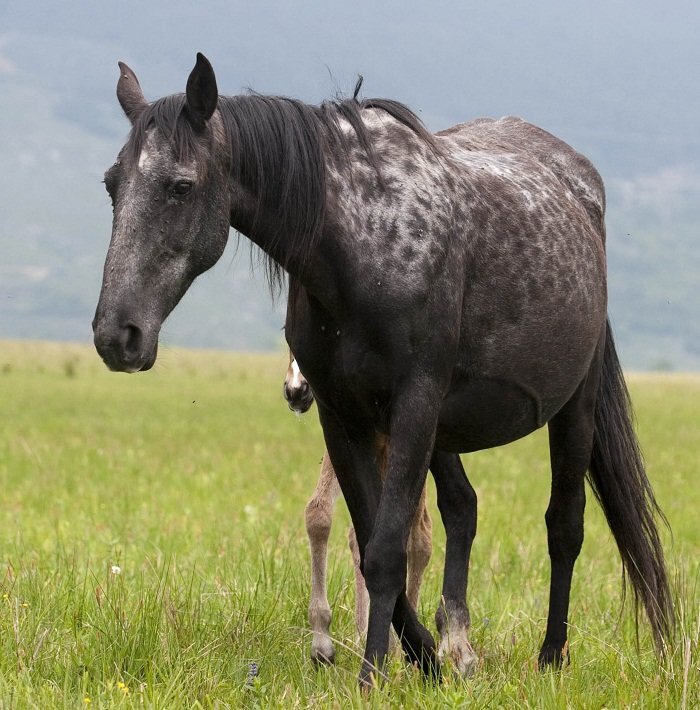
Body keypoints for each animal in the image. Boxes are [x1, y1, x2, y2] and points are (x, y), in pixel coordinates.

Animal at [93, 52, 672, 688]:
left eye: (181, 186)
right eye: (111, 184)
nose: (116, 335)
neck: (360, 243)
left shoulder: (414, 402)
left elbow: (387, 547)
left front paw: (373, 673)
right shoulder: (343, 416)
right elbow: (368, 536)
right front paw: (423, 658)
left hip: (574, 407)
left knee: (564, 525)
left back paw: (549, 657)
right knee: (462, 509)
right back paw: (458, 647)